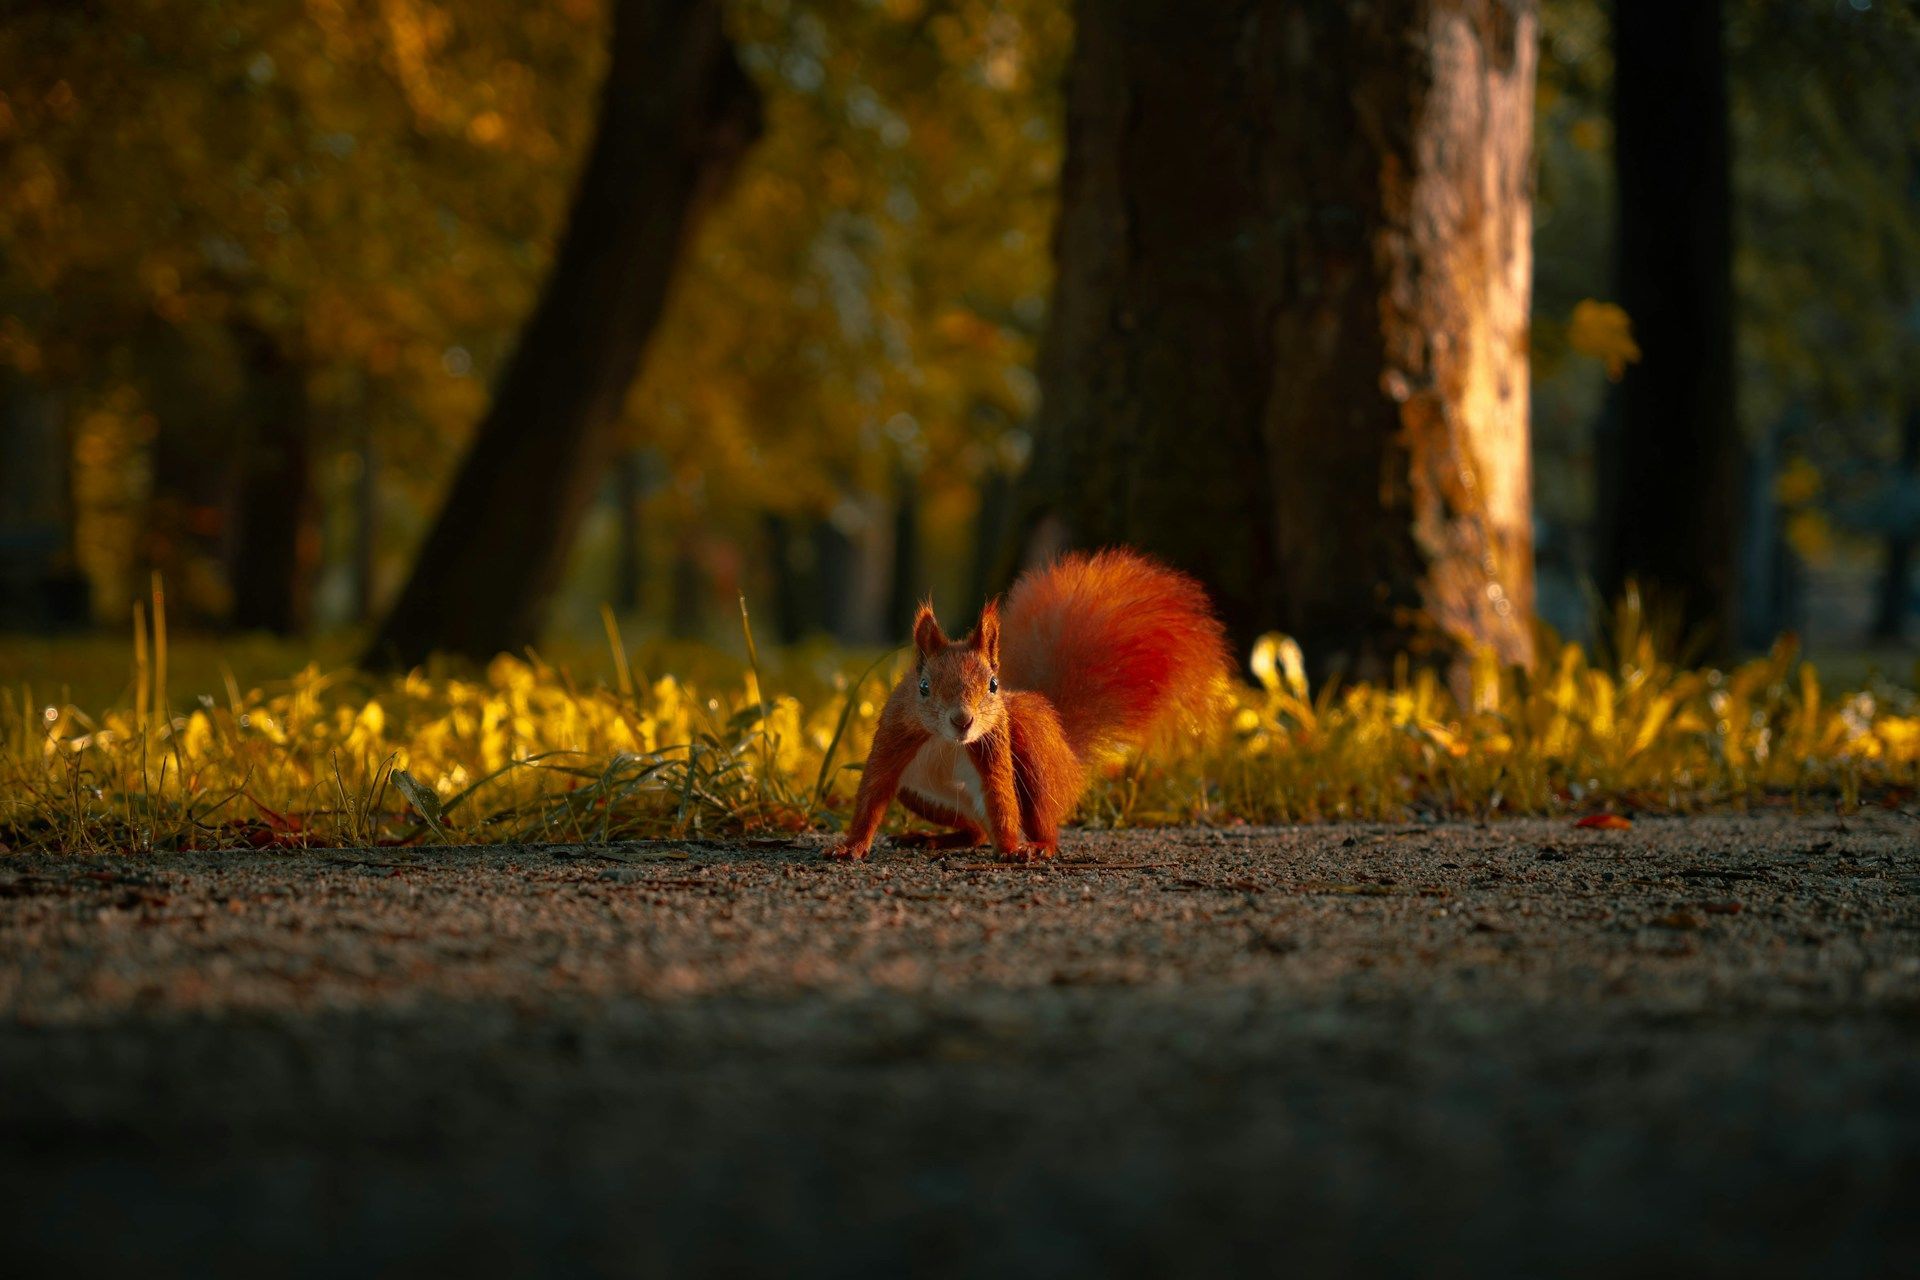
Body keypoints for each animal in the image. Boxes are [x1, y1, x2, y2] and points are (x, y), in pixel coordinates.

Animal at [829, 545, 1228, 867]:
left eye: (993, 685)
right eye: (923, 687)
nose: (962, 720)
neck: (947, 741)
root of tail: (1067, 755)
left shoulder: (994, 742)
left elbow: (1002, 796)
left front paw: (1012, 849)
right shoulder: (896, 735)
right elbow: (872, 792)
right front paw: (851, 847)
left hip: (1032, 747)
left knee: (1035, 819)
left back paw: (1037, 845)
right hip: (920, 795)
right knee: (975, 830)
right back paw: (928, 838)